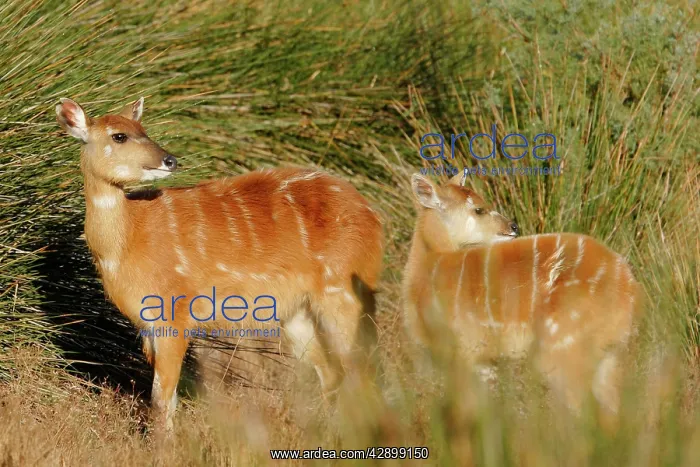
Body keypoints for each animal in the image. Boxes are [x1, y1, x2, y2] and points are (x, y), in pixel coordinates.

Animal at [55, 97, 384, 432]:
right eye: (119, 135)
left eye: (143, 129)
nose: (170, 160)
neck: (129, 242)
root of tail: (374, 217)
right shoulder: (148, 326)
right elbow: (165, 399)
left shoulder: (175, 313)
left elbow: (161, 399)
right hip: (297, 311)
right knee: (332, 373)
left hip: (343, 291)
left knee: (363, 369)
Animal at [402, 173, 643, 416]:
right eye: (479, 209)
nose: (514, 226)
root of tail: (629, 285)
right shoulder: (482, 359)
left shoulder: (461, 348)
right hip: (609, 353)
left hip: (562, 348)